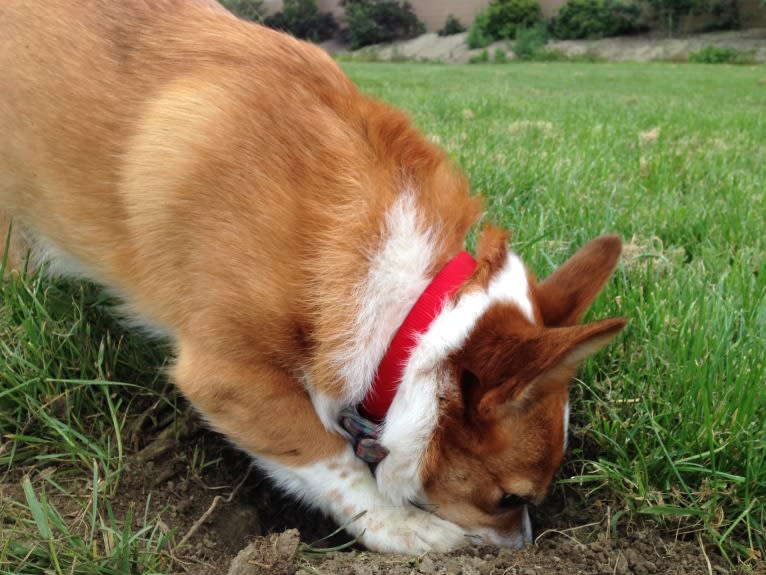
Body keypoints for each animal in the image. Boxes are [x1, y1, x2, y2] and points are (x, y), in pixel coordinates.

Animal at [0, 0, 628, 556]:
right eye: (509, 499)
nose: (526, 548)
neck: (411, 310)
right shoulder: (227, 378)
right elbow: (327, 456)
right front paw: (401, 527)